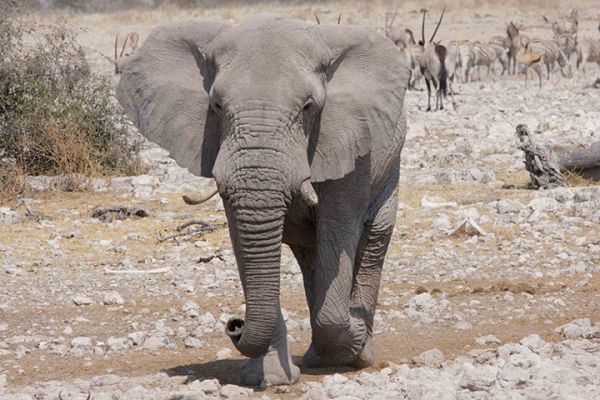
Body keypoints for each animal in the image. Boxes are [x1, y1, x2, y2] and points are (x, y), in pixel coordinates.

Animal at [116, 14, 408, 386]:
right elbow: (243, 239)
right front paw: (271, 378)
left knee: (372, 241)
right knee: (310, 256)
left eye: (308, 107)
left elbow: (338, 229)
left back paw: (358, 352)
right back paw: (319, 357)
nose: (234, 324)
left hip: (390, 166)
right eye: (217, 105)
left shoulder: (349, 141)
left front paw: (352, 338)